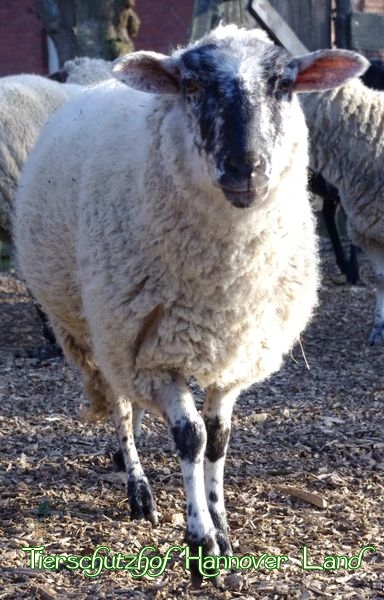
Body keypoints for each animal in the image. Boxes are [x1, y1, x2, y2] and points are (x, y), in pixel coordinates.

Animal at [14, 25, 366, 588]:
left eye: (284, 85)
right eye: (192, 86)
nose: (246, 168)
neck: (222, 286)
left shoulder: (238, 352)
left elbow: (218, 439)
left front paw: (223, 528)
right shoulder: (154, 356)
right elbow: (190, 437)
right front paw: (201, 544)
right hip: (99, 326)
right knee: (119, 404)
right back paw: (137, 486)